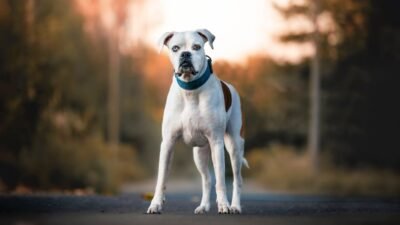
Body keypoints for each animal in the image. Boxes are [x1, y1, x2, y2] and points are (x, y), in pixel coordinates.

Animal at [146, 28, 247, 214]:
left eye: (196, 47)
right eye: (175, 48)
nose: (185, 54)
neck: (190, 90)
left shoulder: (216, 142)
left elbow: (221, 180)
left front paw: (224, 205)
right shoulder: (168, 143)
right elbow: (161, 179)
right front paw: (155, 204)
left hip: (234, 146)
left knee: (237, 179)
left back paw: (235, 206)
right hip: (199, 154)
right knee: (207, 179)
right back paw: (203, 206)